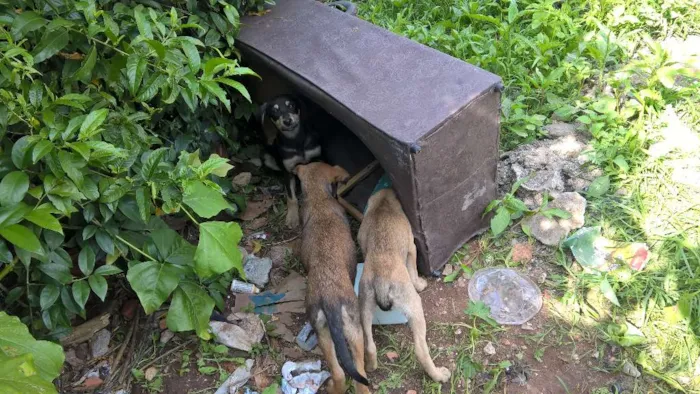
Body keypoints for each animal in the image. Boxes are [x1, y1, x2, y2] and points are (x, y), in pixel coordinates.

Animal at [258, 94, 322, 228]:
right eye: (274, 111)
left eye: (291, 105)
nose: (287, 121)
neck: (295, 140)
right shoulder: (288, 171)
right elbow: (291, 198)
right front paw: (292, 217)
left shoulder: (317, 158)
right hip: (267, 157)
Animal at [294, 162, 372, 394]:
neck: (319, 198)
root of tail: (329, 299)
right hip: (354, 328)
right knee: (359, 375)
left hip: (322, 331)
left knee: (339, 373)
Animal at [358, 189, 452, 384]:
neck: (383, 205)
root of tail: (381, 281)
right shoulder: (412, 247)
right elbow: (413, 269)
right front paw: (420, 284)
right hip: (415, 307)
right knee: (421, 351)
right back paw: (439, 375)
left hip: (364, 306)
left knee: (369, 345)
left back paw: (371, 366)